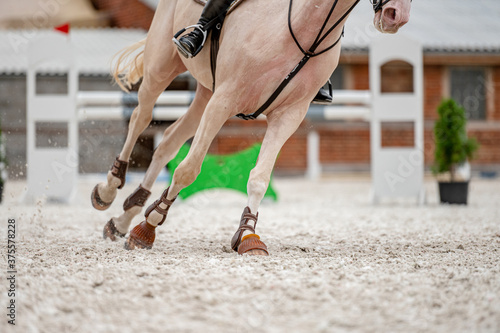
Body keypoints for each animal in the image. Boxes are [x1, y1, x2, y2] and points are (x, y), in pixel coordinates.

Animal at [90, 0, 410, 254]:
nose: (396, 16)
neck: (304, 27)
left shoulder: (288, 115)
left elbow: (259, 178)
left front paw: (247, 235)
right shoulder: (224, 100)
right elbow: (188, 169)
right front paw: (149, 226)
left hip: (205, 92)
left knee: (168, 140)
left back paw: (124, 217)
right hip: (162, 67)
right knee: (140, 118)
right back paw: (108, 190)